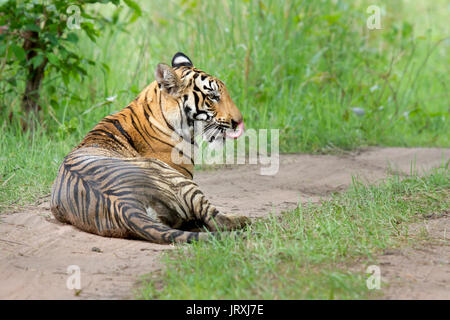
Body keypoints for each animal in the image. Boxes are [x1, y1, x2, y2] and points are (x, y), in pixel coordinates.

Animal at [51, 52, 253, 245]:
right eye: (213, 96)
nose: (238, 122)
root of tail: (125, 205)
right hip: (179, 180)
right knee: (216, 220)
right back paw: (245, 219)